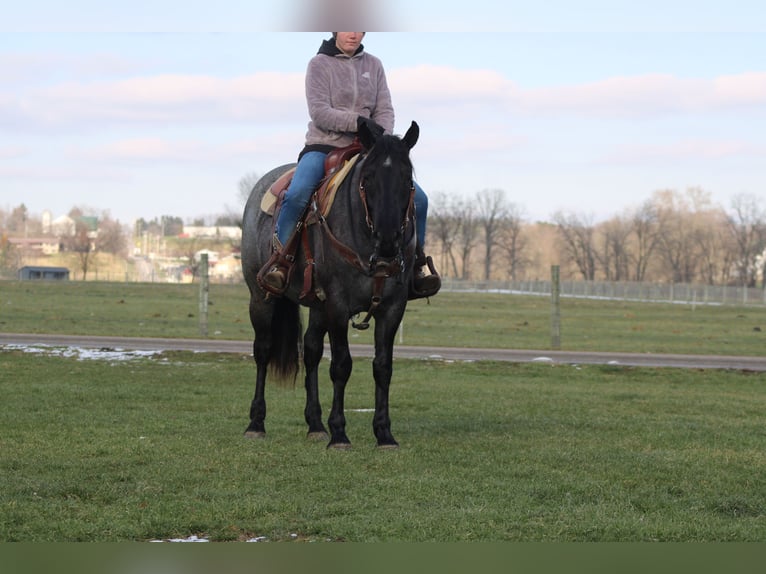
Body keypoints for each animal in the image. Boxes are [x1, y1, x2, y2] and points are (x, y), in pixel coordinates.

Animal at [240, 120, 421, 449]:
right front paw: (339, 433)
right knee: (263, 349)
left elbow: (383, 367)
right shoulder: (338, 304)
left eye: (407, 178)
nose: (388, 241)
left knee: (311, 350)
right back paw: (256, 423)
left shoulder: (392, 308)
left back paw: (315, 424)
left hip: (317, 305)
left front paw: (384, 433)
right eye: (367, 178)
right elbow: (341, 365)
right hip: (261, 296)